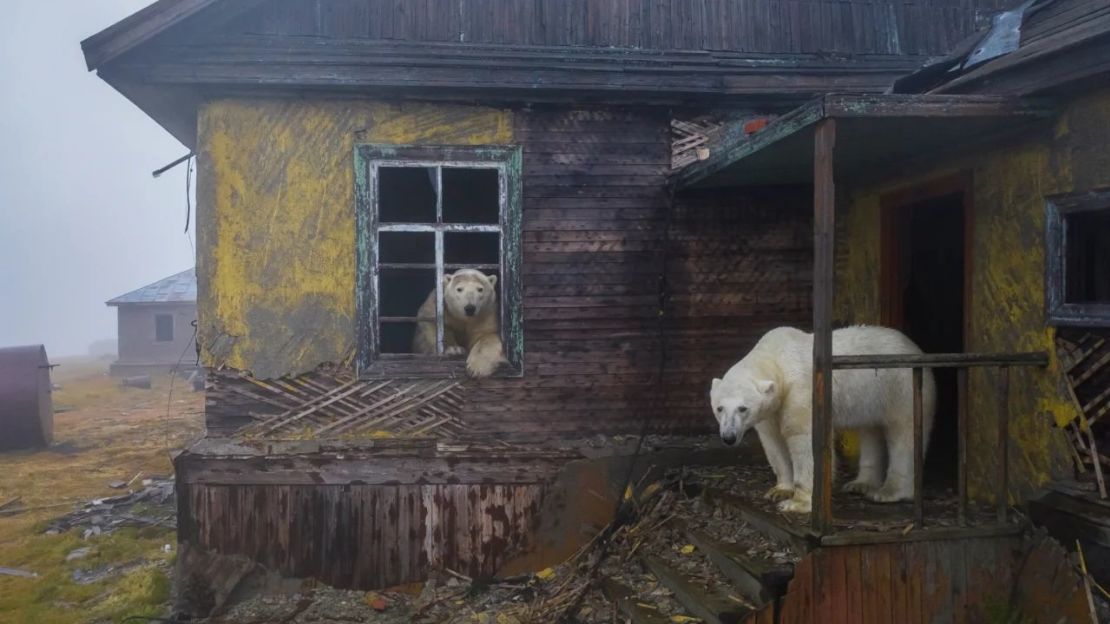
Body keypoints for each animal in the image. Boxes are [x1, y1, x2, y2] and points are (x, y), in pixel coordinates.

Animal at [705, 321, 932, 512]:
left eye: (743, 408)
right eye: (719, 408)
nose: (728, 437)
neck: (776, 358)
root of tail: (915, 347)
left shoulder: (801, 391)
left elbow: (805, 439)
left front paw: (797, 503)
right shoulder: (771, 410)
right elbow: (773, 442)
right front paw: (779, 490)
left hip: (900, 386)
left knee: (904, 433)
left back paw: (888, 492)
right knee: (870, 430)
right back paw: (860, 484)